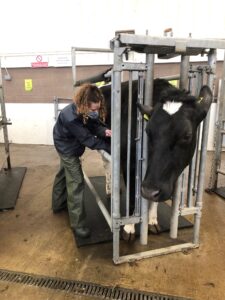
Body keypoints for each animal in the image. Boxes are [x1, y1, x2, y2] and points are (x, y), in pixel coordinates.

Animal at [99, 78, 212, 240]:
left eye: (187, 135)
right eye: (147, 131)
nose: (148, 190)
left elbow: (154, 199)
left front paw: (152, 221)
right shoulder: (130, 164)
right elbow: (133, 196)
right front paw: (129, 228)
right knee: (106, 163)